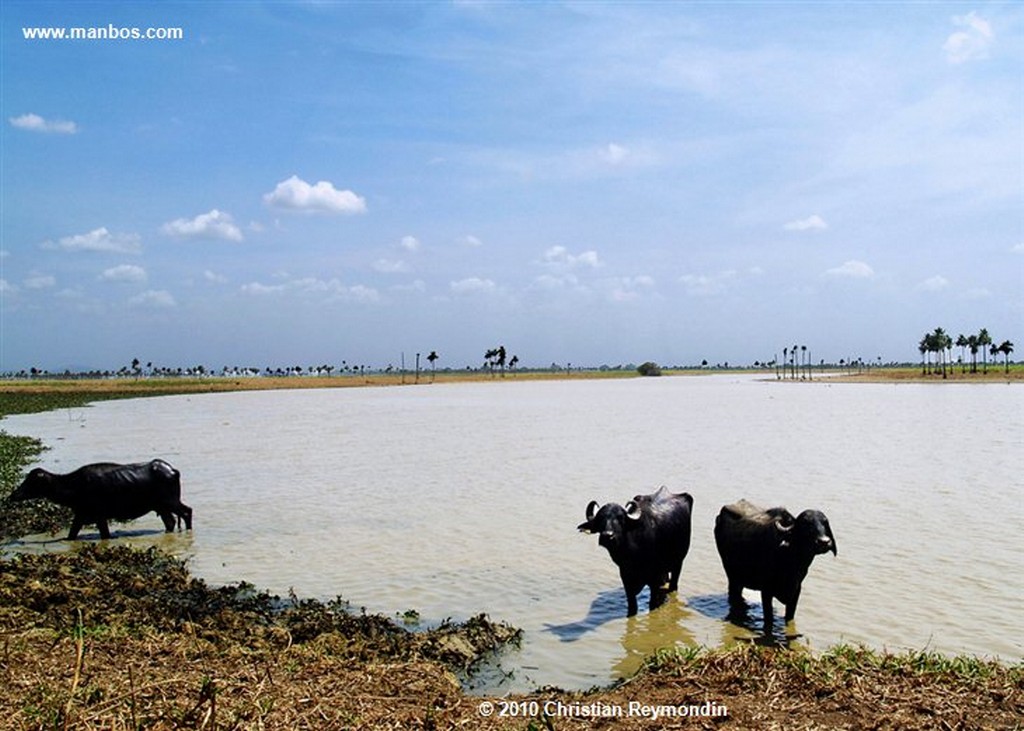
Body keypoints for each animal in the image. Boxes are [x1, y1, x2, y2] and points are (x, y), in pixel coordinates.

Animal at [10, 458, 193, 536]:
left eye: (32, 481)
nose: (13, 495)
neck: (75, 485)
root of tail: (172, 470)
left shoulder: (99, 516)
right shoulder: (80, 515)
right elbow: (71, 534)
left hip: (171, 502)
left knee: (187, 512)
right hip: (162, 506)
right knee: (170, 522)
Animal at [577, 483, 696, 614]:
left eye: (621, 519)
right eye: (600, 519)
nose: (607, 536)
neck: (633, 555)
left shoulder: (655, 579)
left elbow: (653, 603)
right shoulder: (626, 578)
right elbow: (632, 606)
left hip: (679, 562)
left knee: (673, 585)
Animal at [716, 497, 835, 630]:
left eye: (825, 523)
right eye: (806, 523)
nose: (824, 542)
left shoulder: (796, 592)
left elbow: (789, 617)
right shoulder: (766, 591)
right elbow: (769, 620)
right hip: (732, 575)